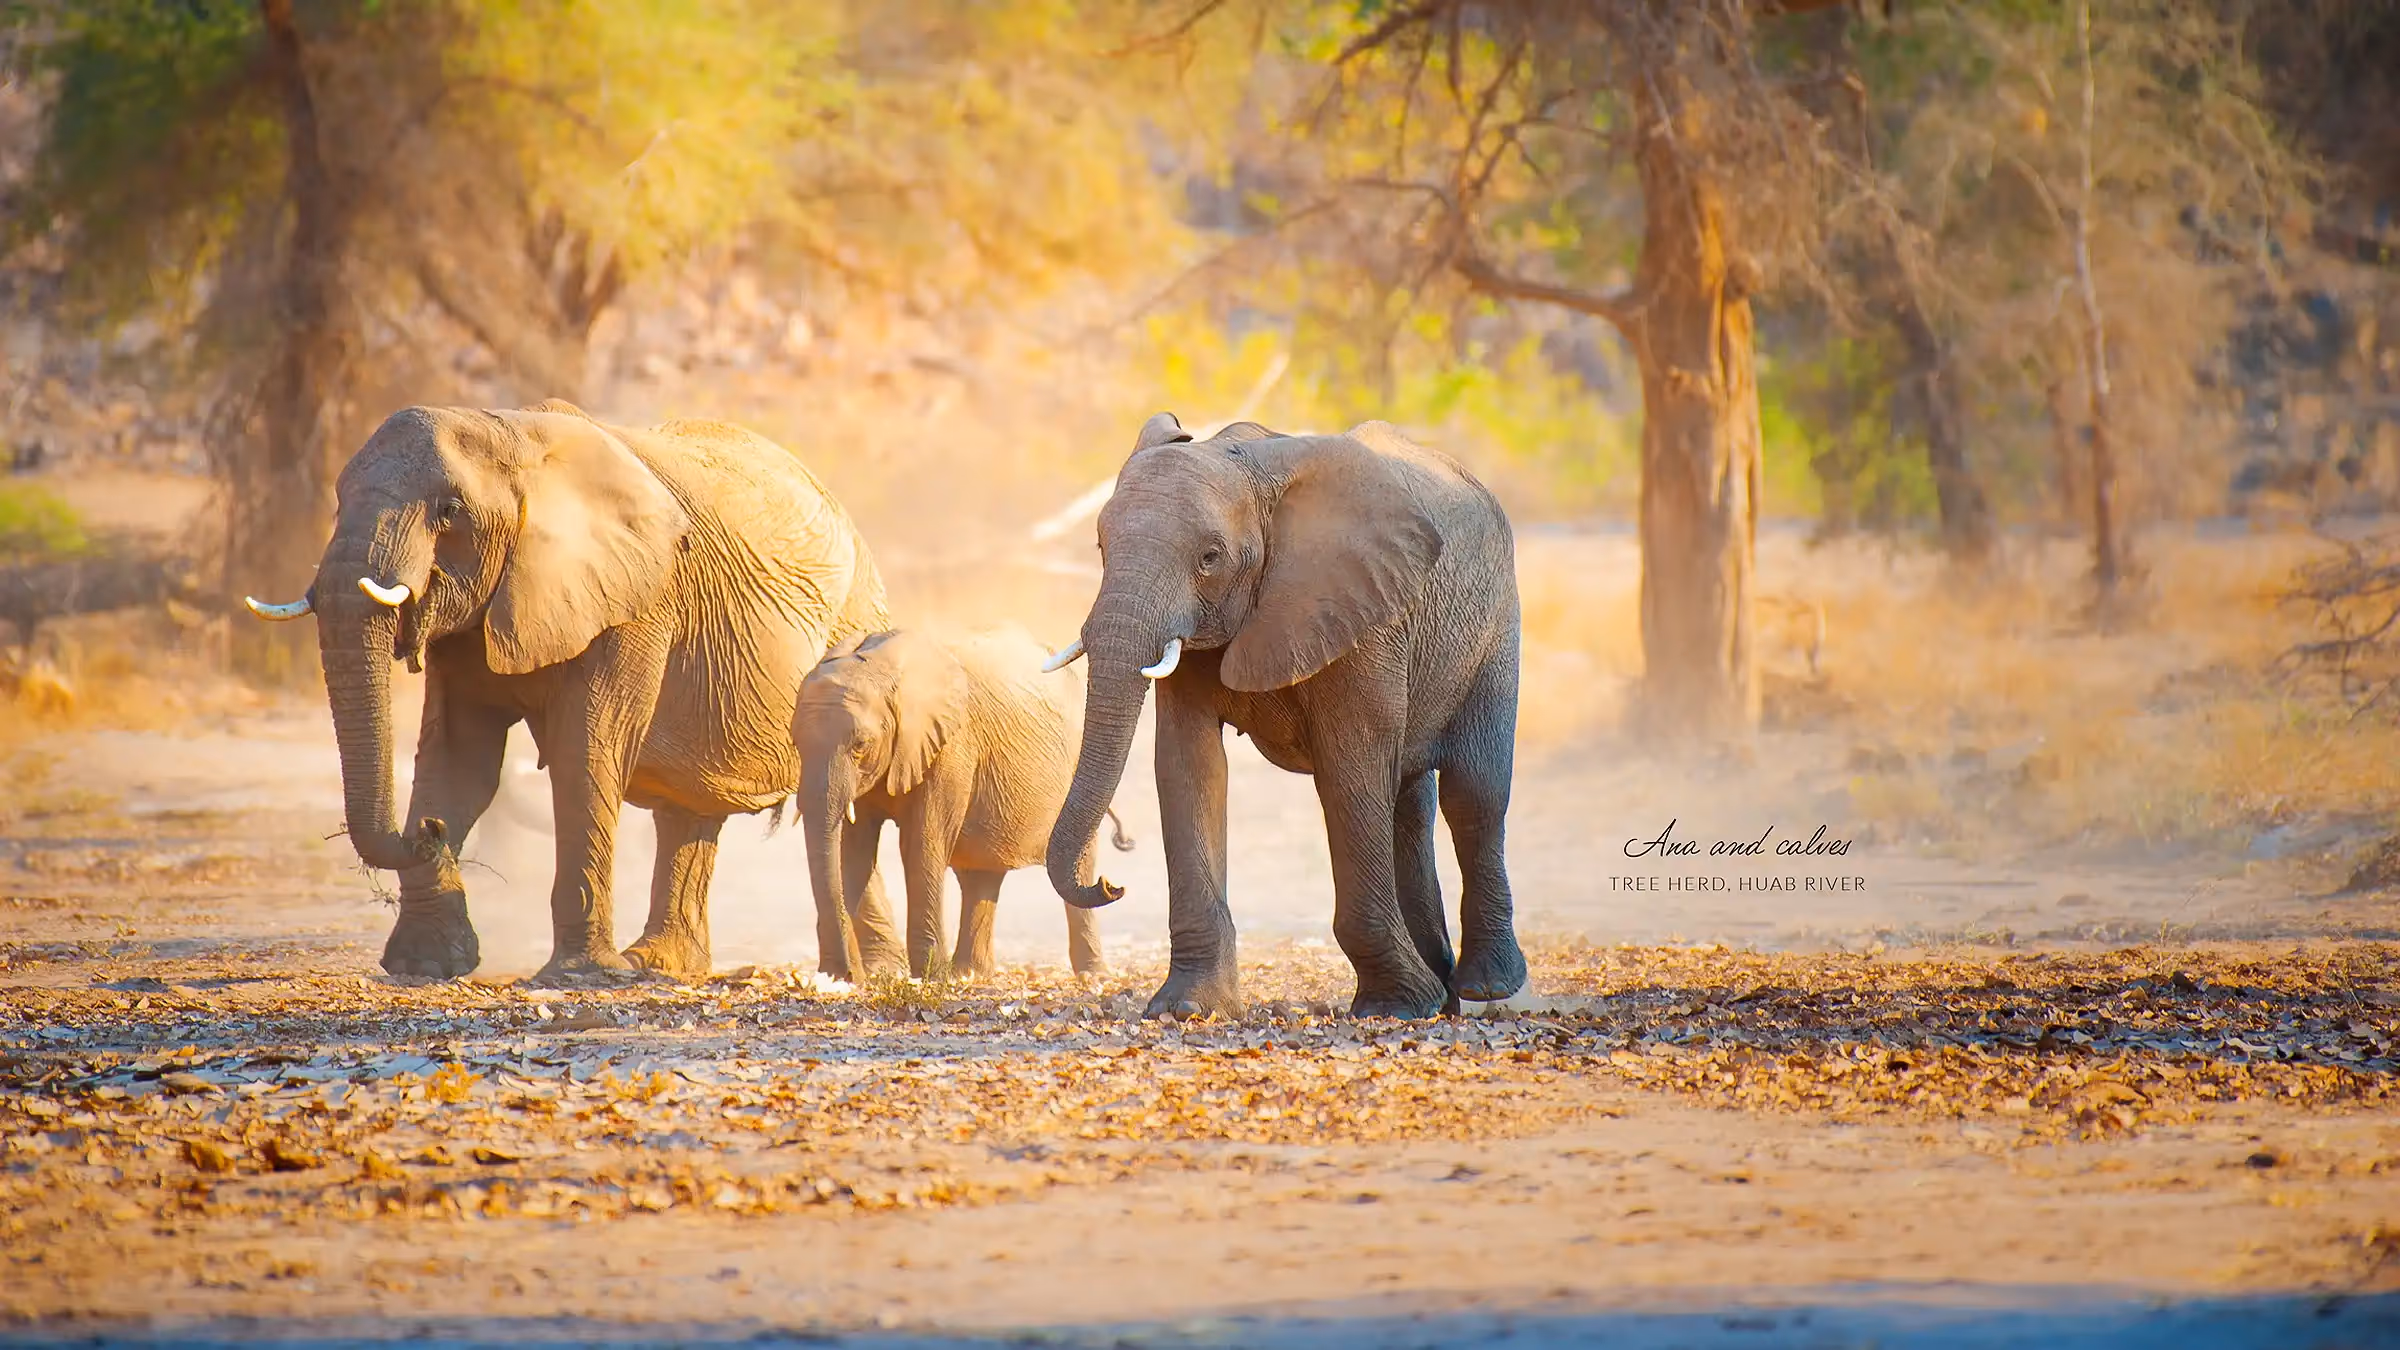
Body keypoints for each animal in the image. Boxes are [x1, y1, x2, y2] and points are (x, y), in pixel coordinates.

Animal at [243, 399, 892, 982]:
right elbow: (461, 759)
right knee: (691, 806)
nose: (427, 831)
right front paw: (426, 964)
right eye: (337, 501)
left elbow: (586, 753)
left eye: (450, 511)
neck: (510, 434)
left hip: (855, 616)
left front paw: (579, 974)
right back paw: (659, 965)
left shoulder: (636, 604)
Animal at [792, 625, 1129, 982]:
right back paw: (971, 974)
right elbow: (854, 851)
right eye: (795, 743)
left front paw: (930, 977)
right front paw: (842, 978)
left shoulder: (951, 745)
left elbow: (920, 844)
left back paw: (1093, 975)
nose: (841, 972)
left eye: (860, 745)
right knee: (981, 874)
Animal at [1043, 414, 1527, 1020]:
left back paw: (1485, 987)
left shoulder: (1362, 611)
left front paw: (1391, 1007)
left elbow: (1350, 771)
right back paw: (1443, 1000)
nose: (1112, 883)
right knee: (1411, 802)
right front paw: (1188, 1007)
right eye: (1102, 546)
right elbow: (1189, 766)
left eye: (1210, 558)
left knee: (1474, 795)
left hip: (1495, 626)